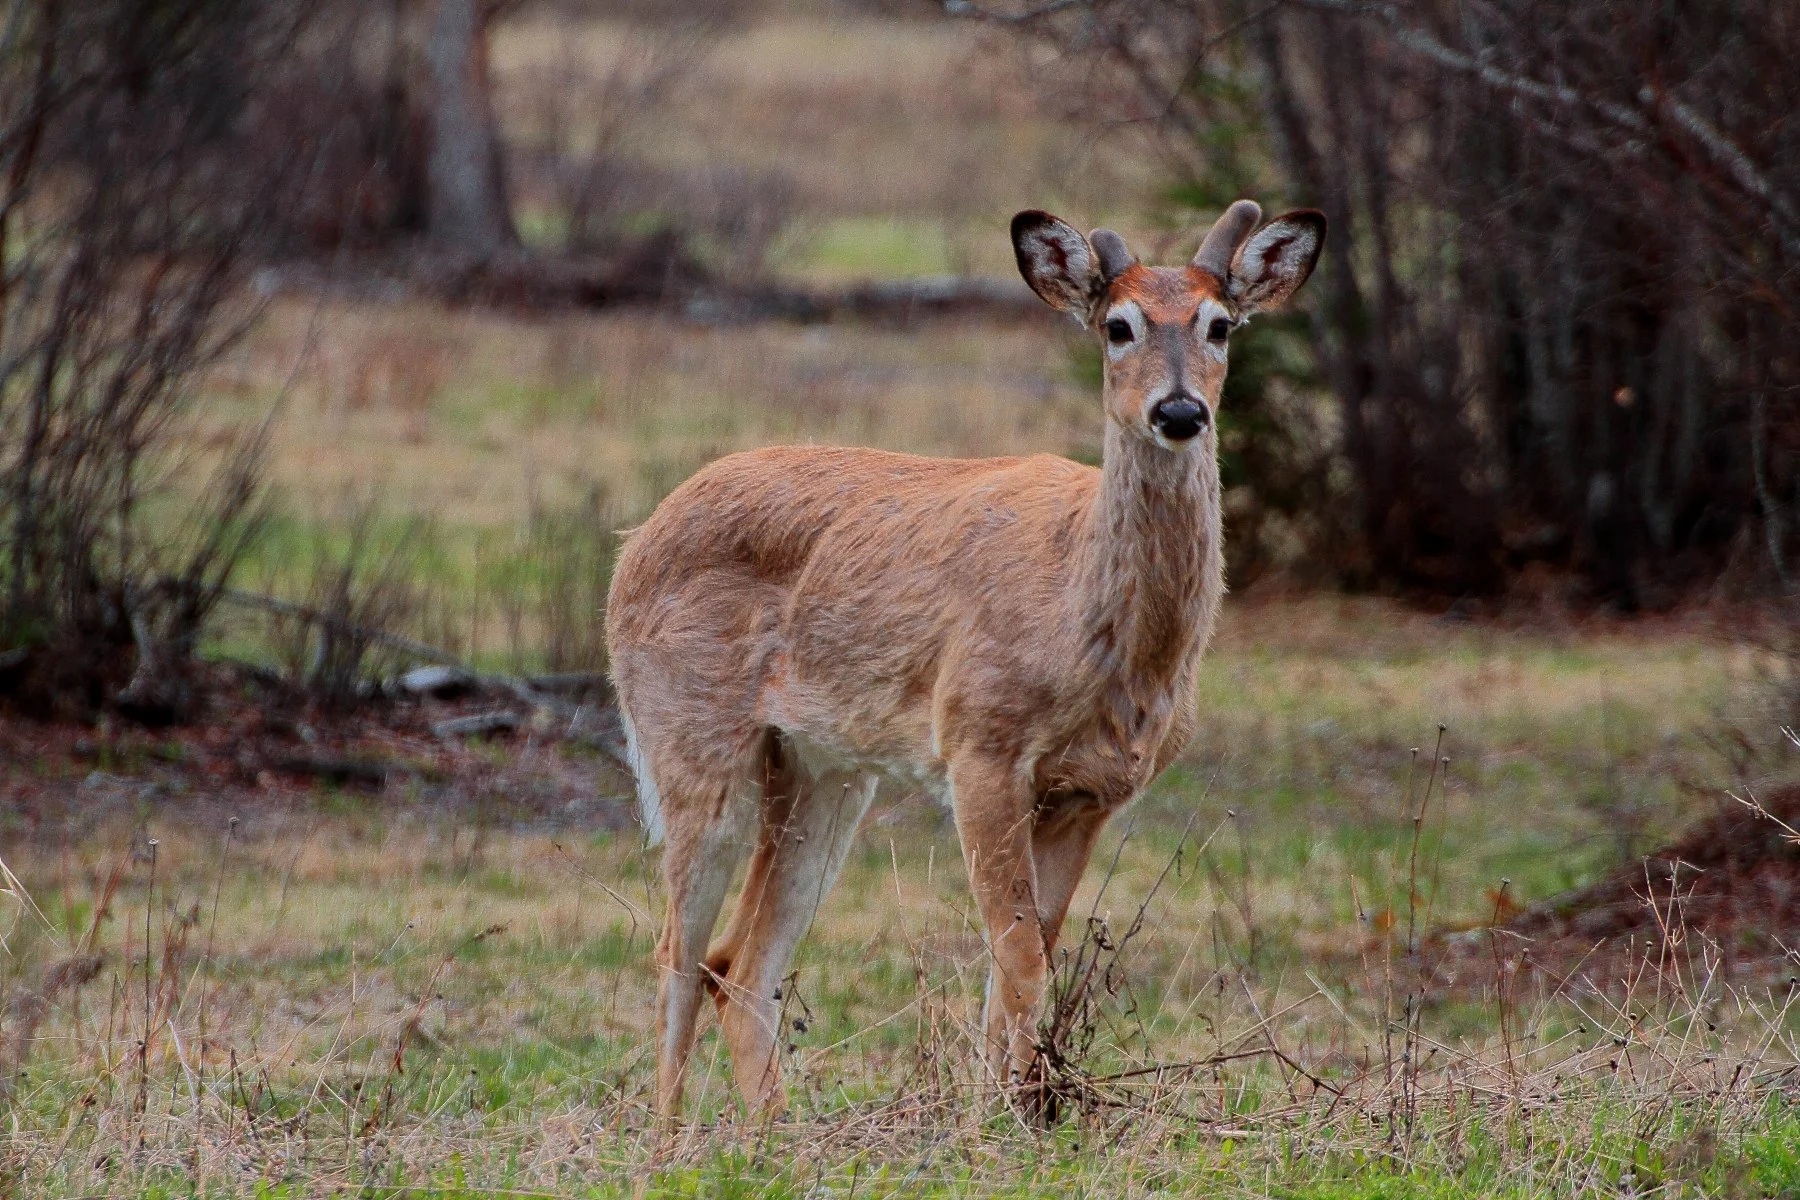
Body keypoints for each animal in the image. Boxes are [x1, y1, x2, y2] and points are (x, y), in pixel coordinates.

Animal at [605, 199, 1325, 1118]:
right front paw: (1006, 1121)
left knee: (740, 964)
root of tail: (635, 542)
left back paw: (770, 1132)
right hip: (690, 742)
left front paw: (1016, 1108)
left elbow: (1027, 958)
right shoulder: (980, 746)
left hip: (822, 770)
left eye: (1221, 325)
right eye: (1117, 326)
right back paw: (672, 1139)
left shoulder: (1087, 793)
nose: (1178, 412)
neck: (1088, 618)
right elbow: (1016, 960)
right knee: (677, 951)